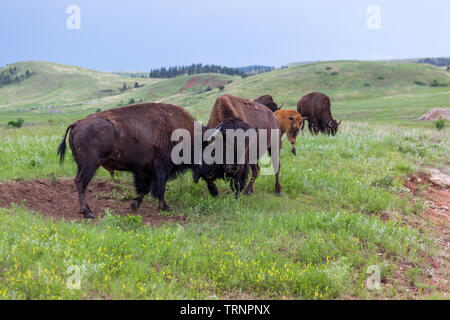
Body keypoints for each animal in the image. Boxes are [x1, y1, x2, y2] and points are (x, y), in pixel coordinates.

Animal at [56, 102, 197, 218]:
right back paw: (87, 213)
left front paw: (134, 205)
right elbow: (159, 188)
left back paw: (88, 210)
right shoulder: (162, 168)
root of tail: (77, 123)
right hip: (90, 165)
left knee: (79, 182)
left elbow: (145, 189)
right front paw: (165, 208)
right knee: (81, 182)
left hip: (80, 165)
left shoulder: (146, 171)